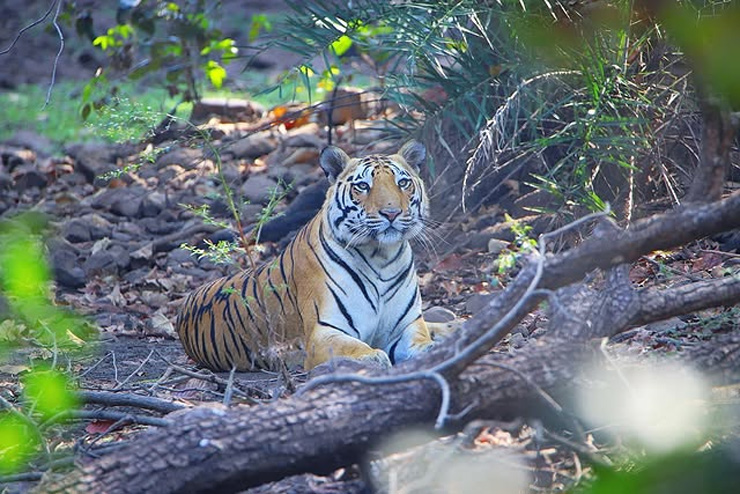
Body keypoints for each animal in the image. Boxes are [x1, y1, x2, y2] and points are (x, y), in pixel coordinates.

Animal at [176, 141, 450, 371]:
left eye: (402, 183)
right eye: (363, 186)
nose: (391, 213)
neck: (381, 257)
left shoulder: (406, 326)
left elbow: (420, 341)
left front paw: (435, 348)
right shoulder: (324, 332)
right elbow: (354, 347)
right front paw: (372, 357)